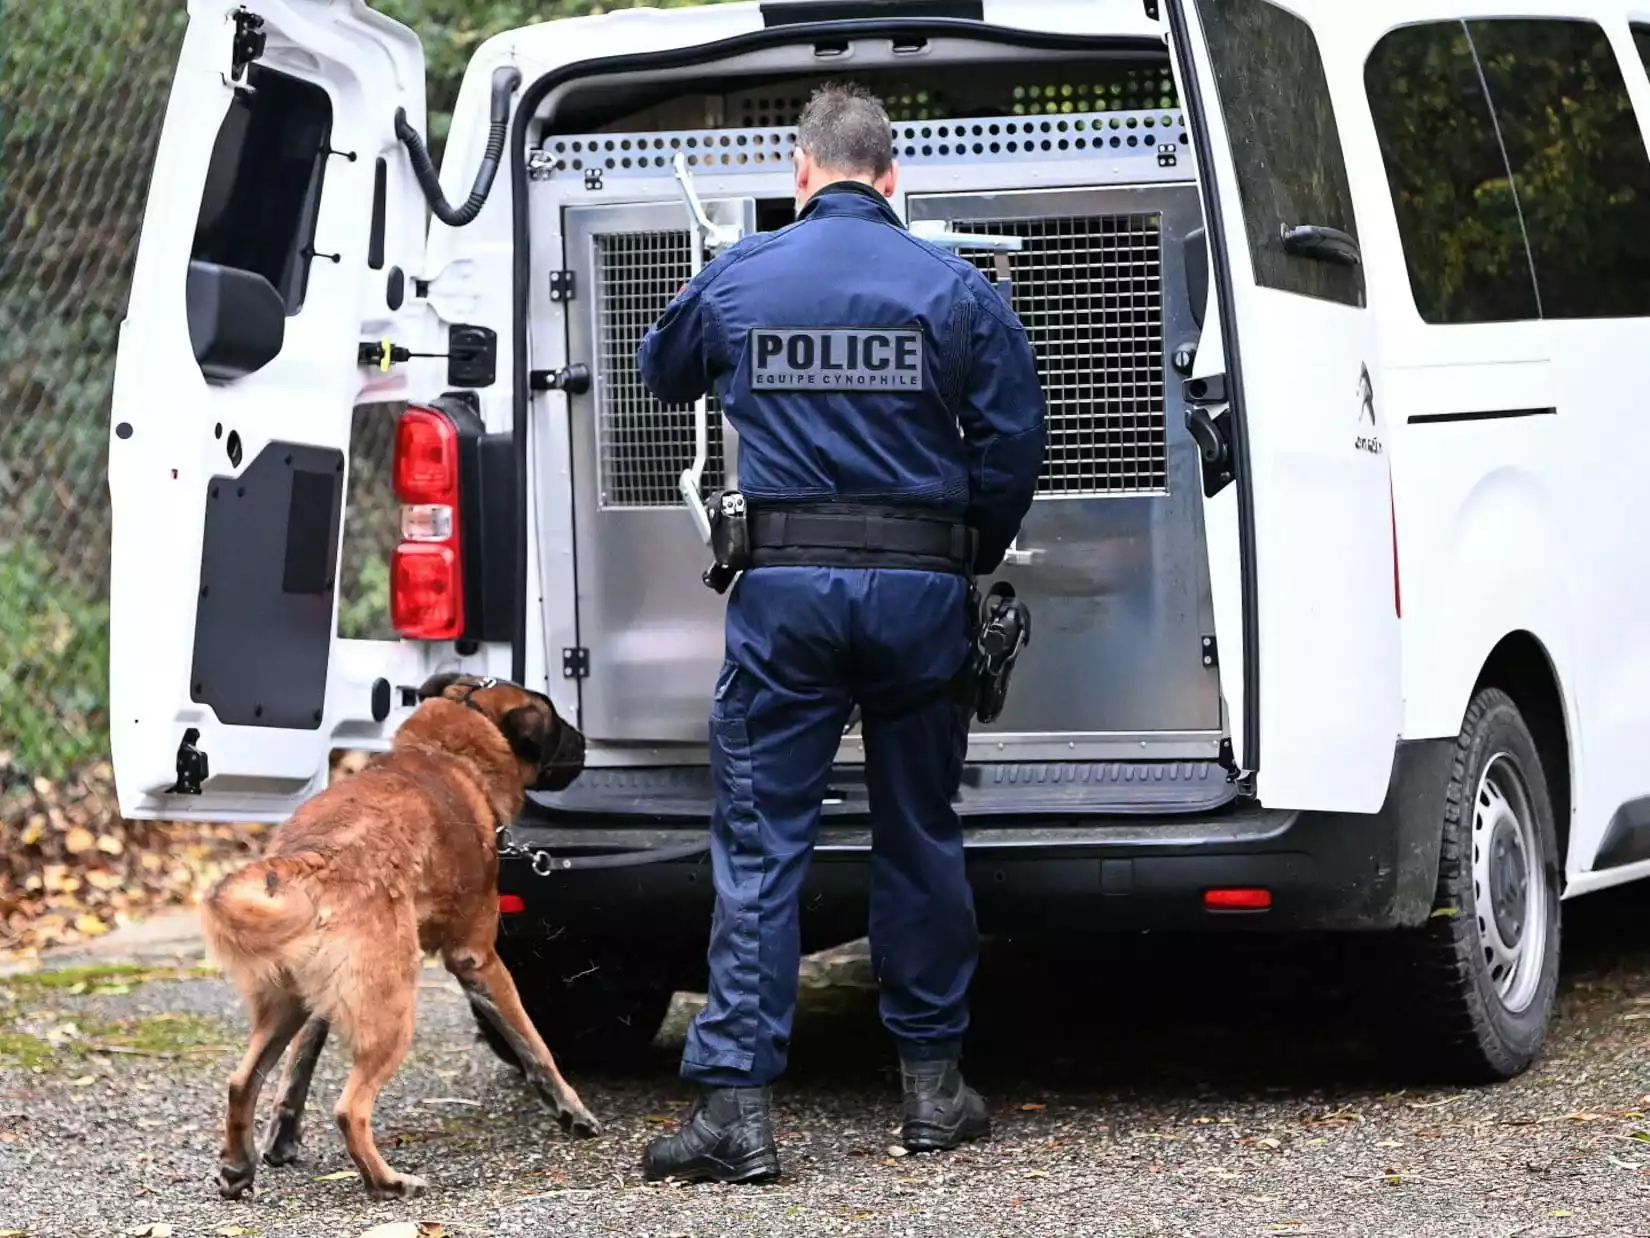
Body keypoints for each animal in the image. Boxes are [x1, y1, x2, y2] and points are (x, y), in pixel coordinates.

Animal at [199, 670, 600, 1201]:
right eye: (556, 721)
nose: (586, 742)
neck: (449, 752)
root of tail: (310, 861)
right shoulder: (478, 958)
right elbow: (535, 1045)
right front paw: (572, 1109)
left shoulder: (320, 1002)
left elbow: (299, 1067)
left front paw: (282, 1137)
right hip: (393, 1014)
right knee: (349, 1109)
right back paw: (387, 1180)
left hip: (288, 1005)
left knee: (242, 1081)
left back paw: (238, 1166)